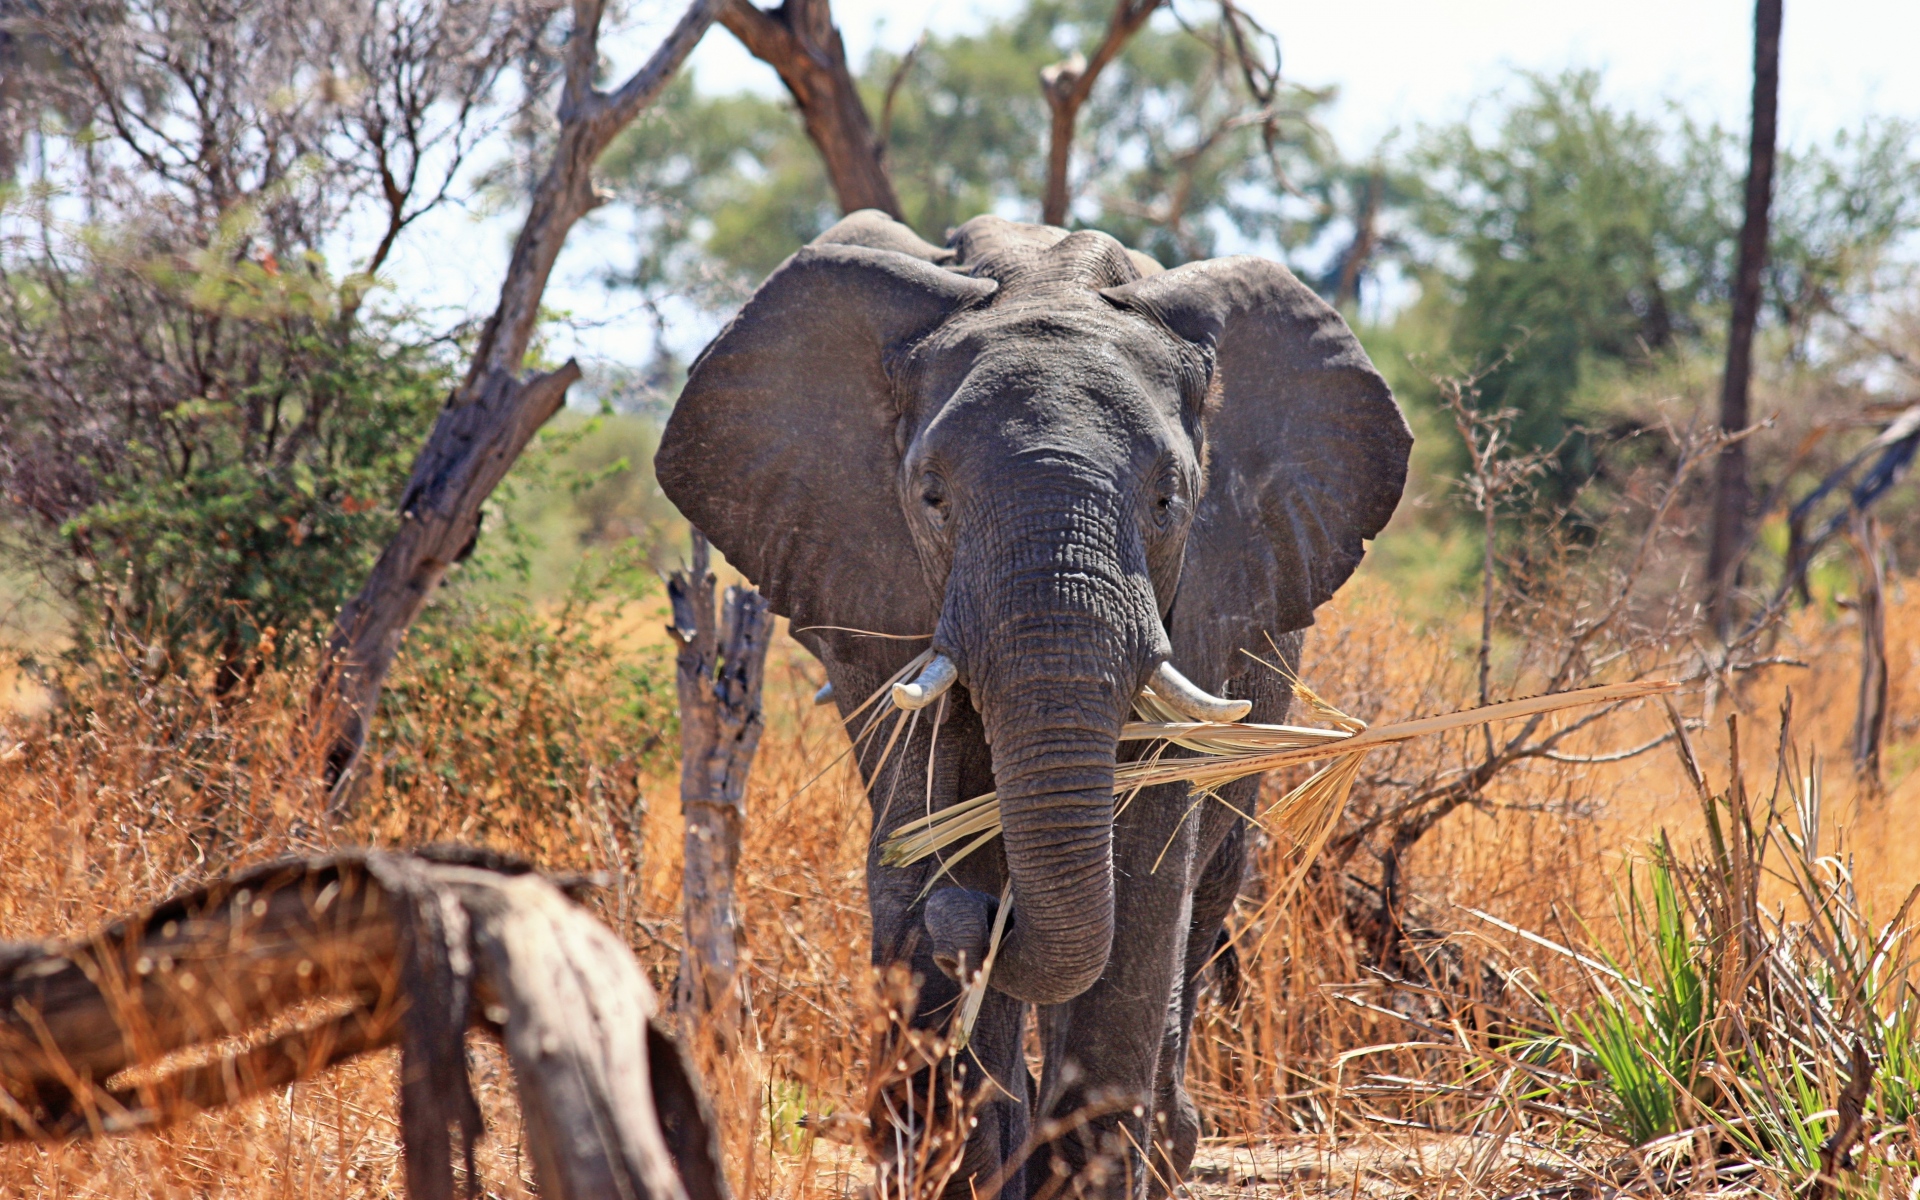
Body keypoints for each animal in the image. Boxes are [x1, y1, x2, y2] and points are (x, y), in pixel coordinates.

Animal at [655, 210, 1410, 1199]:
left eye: (1168, 499)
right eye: (931, 496)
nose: (980, 921)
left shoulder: (1205, 598)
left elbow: (1142, 872)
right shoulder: (880, 590)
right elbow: (922, 823)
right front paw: (961, 1160)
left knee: (1205, 890)